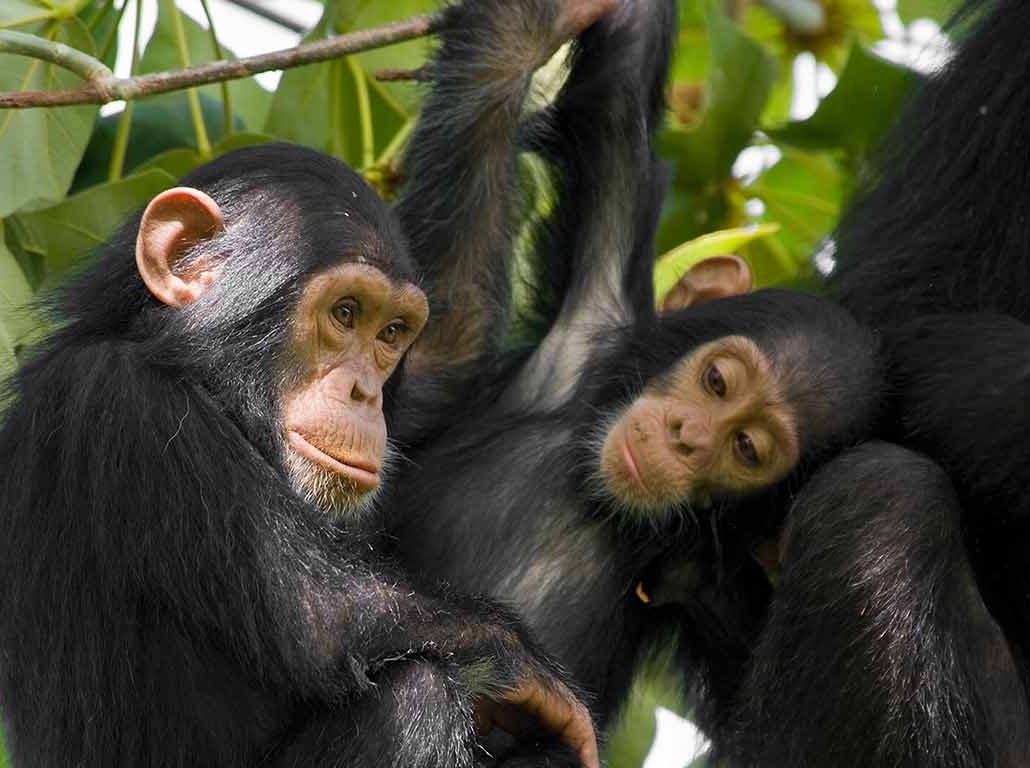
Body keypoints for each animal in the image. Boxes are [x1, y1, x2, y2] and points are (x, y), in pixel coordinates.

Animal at [0, 144, 601, 765]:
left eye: (391, 332)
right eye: (345, 312)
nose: (365, 393)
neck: (197, 378)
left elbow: (455, 345)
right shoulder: (130, 408)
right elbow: (319, 617)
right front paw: (530, 669)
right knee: (417, 694)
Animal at [383, 0, 881, 741]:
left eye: (746, 447)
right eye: (716, 383)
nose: (686, 437)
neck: (599, 499)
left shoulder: (719, 582)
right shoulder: (593, 310)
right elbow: (615, 101)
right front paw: (540, 27)